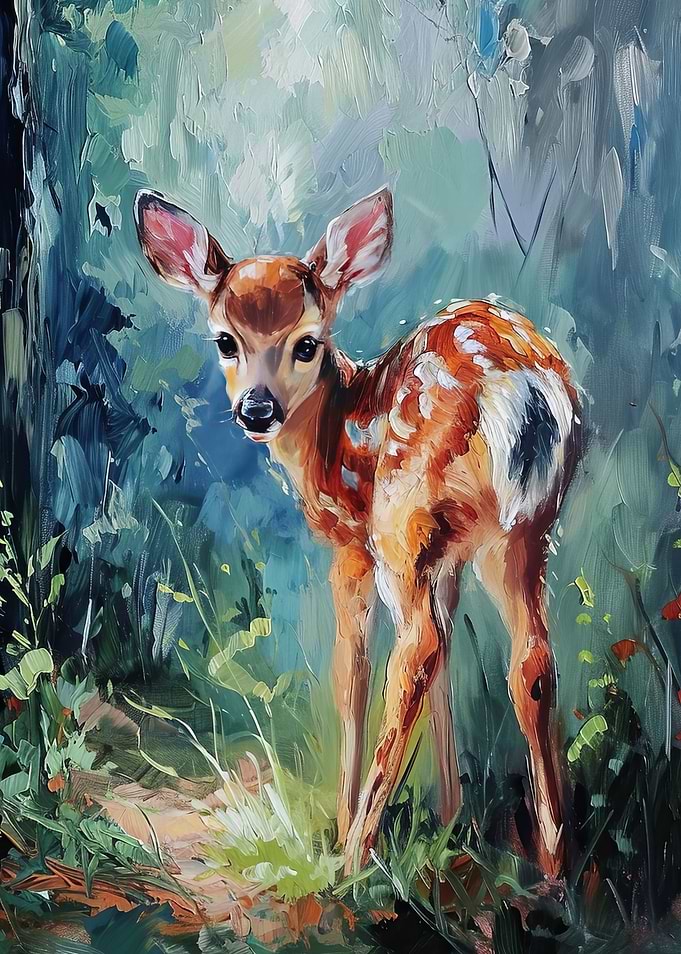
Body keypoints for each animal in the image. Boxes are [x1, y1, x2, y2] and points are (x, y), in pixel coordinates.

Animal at [135, 186, 581, 877]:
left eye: (307, 343)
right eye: (226, 340)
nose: (256, 408)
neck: (325, 442)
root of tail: (518, 384)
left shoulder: (352, 545)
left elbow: (352, 672)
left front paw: (346, 822)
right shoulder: (447, 553)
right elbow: (449, 668)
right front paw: (451, 823)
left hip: (400, 518)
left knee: (416, 648)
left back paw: (352, 860)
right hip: (525, 529)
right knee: (528, 660)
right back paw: (554, 865)